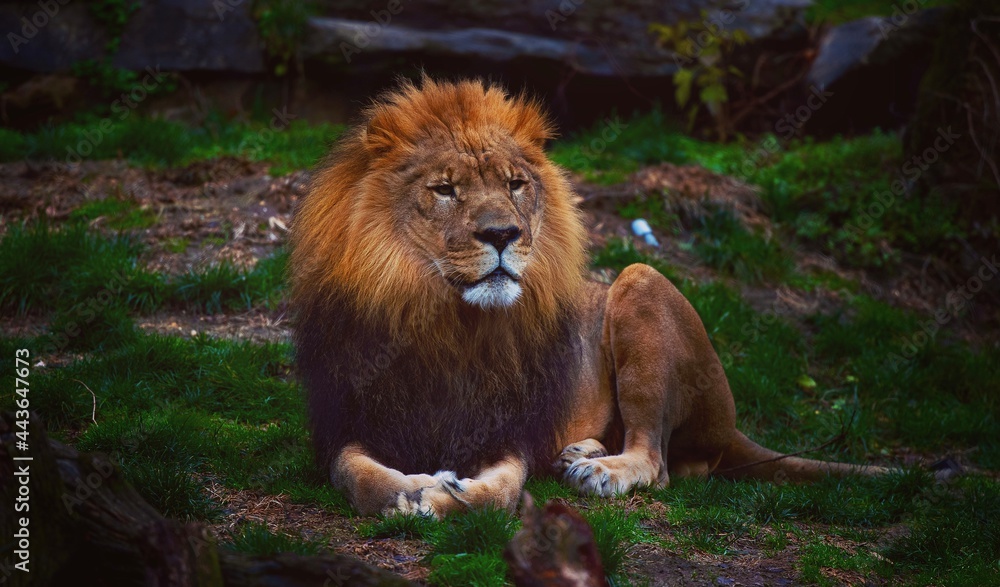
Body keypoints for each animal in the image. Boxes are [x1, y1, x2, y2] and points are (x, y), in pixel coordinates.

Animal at [290, 77, 886, 517]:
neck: (445, 321)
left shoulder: (509, 431)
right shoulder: (350, 422)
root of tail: (731, 423)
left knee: (661, 460)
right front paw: (410, 490)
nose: (503, 233)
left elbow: (500, 491)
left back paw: (599, 470)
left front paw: (448, 495)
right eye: (444, 189)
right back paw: (581, 451)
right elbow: (357, 475)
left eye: (514, 184)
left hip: (640, 282)